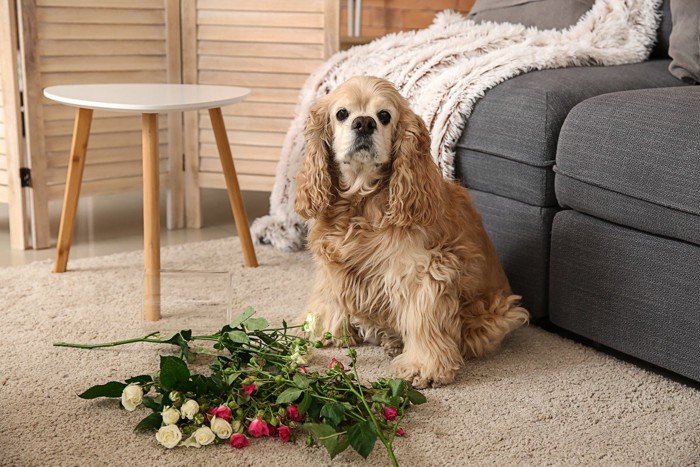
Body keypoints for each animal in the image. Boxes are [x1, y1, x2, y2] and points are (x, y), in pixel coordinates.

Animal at [292, 77, 528, 390]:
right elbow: (328, 294)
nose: (364, 123)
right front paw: (323, 330)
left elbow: (422, 320)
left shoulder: (424, 270)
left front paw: (423, 367)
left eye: (384, 116)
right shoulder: (333, 261)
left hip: (492, 314)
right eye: (342, 113)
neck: (361, 203)